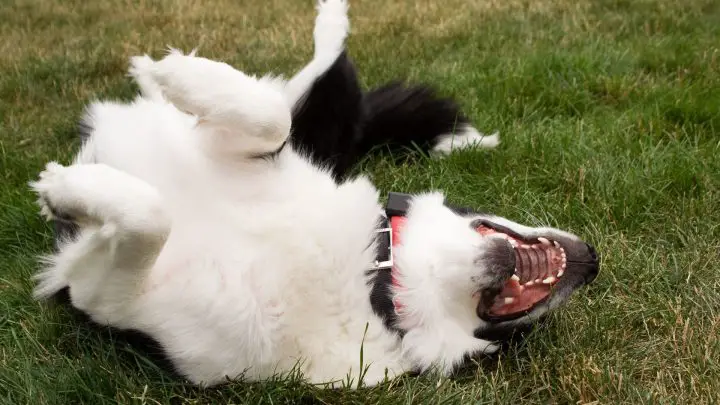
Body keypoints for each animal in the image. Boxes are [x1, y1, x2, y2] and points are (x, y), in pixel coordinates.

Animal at [31, 0, 600, 386]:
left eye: (512, 339)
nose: (593, 261)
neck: (375, 277)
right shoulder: (262, 150)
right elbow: (268, 120)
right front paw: (175, 74)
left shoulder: (107, 296)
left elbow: (151, 215)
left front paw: (63, 187)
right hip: (313, 124)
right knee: (295, 88)